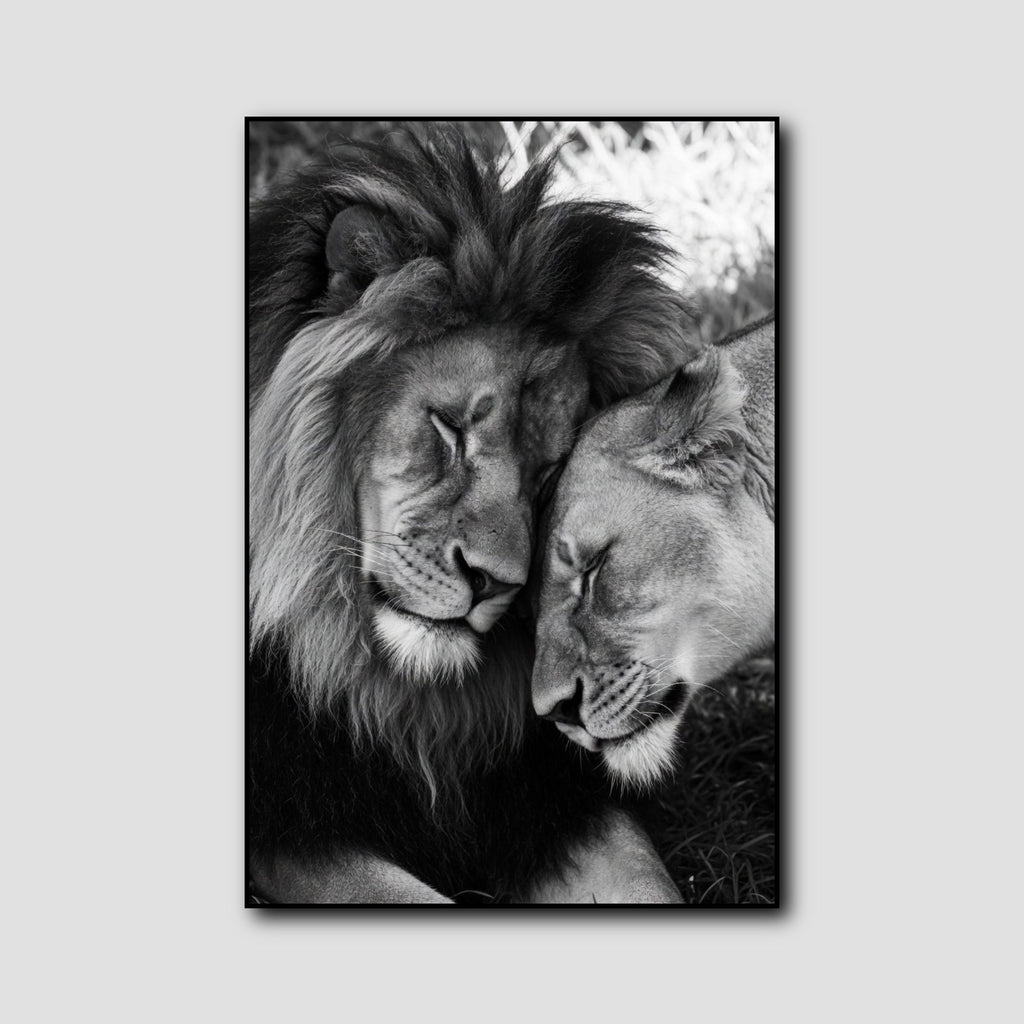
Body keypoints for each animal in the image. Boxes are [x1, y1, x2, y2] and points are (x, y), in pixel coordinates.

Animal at [248, 127, 695, 903]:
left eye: (548, 475)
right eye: (451, 428)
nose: (495, 583)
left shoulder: (549, 799)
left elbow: (650, 886)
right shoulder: (292, 818)